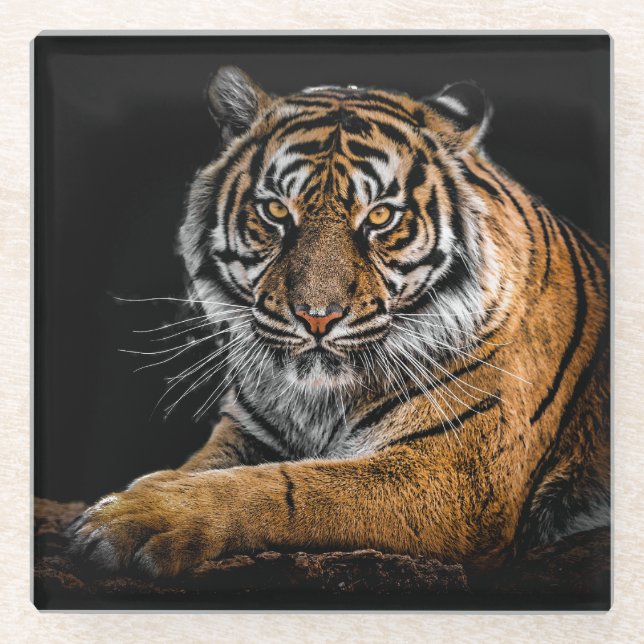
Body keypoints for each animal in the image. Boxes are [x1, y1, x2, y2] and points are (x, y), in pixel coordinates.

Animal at [67, 66, 610, 578]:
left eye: (381, 217)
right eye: (275, 210)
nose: (317, 317)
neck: (320, 402)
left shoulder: (455, 476)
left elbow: (293, 487)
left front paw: (137, 517)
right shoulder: (247, 431)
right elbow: (200, 467)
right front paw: (134, 496)